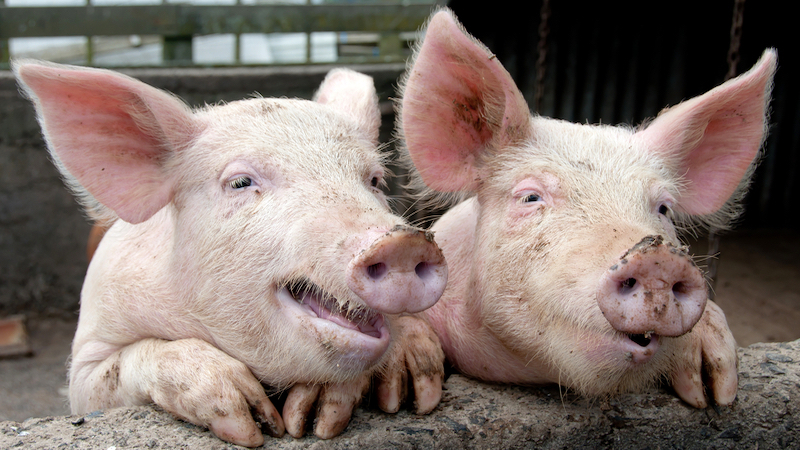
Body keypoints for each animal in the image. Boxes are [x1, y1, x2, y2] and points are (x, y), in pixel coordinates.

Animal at [14, 59, 450, 446]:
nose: (403, 243)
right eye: (240, 182)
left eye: (374, 180)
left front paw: (326, 417)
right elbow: (114, 371)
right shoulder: (88, 357)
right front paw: (254, 423)